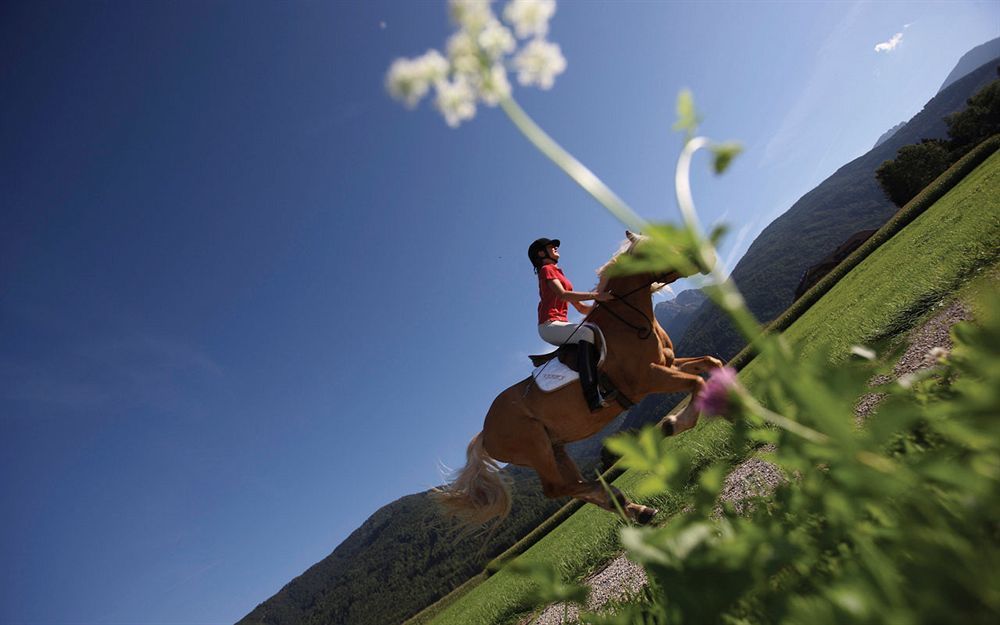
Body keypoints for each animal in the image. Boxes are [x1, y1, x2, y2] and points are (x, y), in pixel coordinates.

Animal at [434, 233, 724, 528]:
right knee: (559, 489)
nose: (702, 256)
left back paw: (635, 509)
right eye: (654, 248)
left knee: (574, 484)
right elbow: (696, 383)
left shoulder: (668, 364)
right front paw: (672, 424)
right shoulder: (650, 378)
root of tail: (485, 431)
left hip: (555, 448)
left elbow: (711, 363)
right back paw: (620, 498)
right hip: (537, 449)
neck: (628, 321)